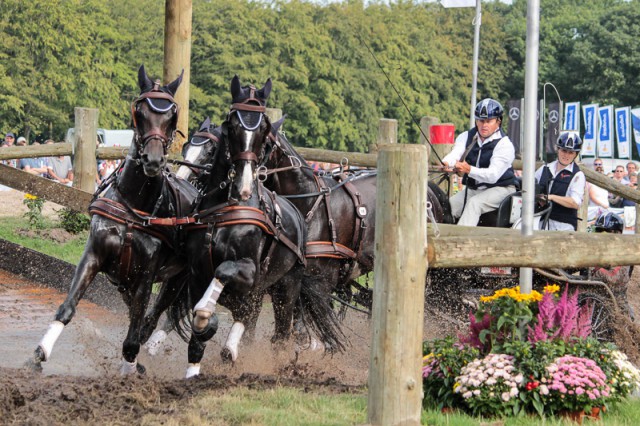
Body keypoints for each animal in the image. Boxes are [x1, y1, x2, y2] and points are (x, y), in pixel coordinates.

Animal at [30, 65, 195, 374]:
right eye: (140, 111)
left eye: (172, 115)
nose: (153, 160)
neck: (133, 208)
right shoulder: (94, 255)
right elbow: (68, 306)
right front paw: (40, 352)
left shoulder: (146, 274)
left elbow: (133, 335)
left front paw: (129, 367)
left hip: (178, 278)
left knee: (152, 318)